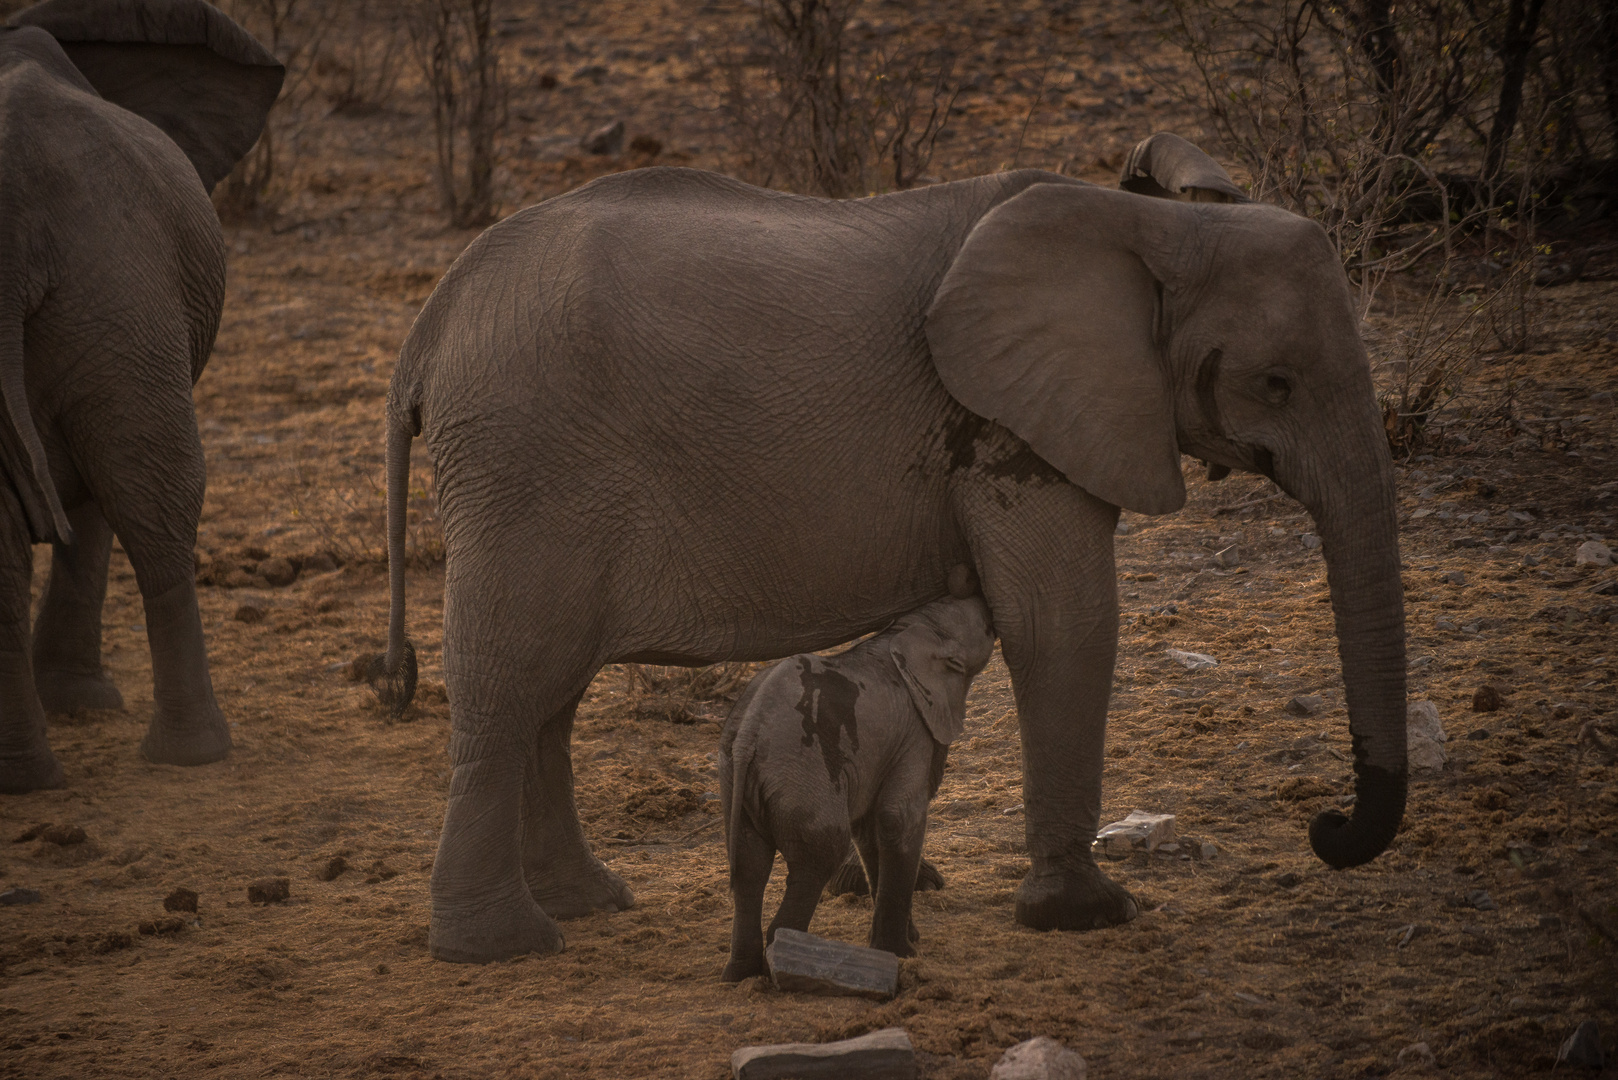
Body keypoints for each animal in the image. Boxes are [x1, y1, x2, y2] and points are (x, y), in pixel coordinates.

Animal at [0, 0, 284, 793]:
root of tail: (12, 213)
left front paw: (78, 703)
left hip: (112, 293)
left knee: (137, 488)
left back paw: (36, 777)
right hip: (118, 288)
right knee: (156, 492)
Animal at [724, 595, 996, 984]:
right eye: (987, 628)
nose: (983, 596)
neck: (912, 631)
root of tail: (748, 737)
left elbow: (869, 832)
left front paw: (907, 939)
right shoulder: (913, 733)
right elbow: (899, 819)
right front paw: (902, 953)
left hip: (737, 784)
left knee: (749, 866)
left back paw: (740, 975)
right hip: (805, 775)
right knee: (818, 857)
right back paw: (785, 964)